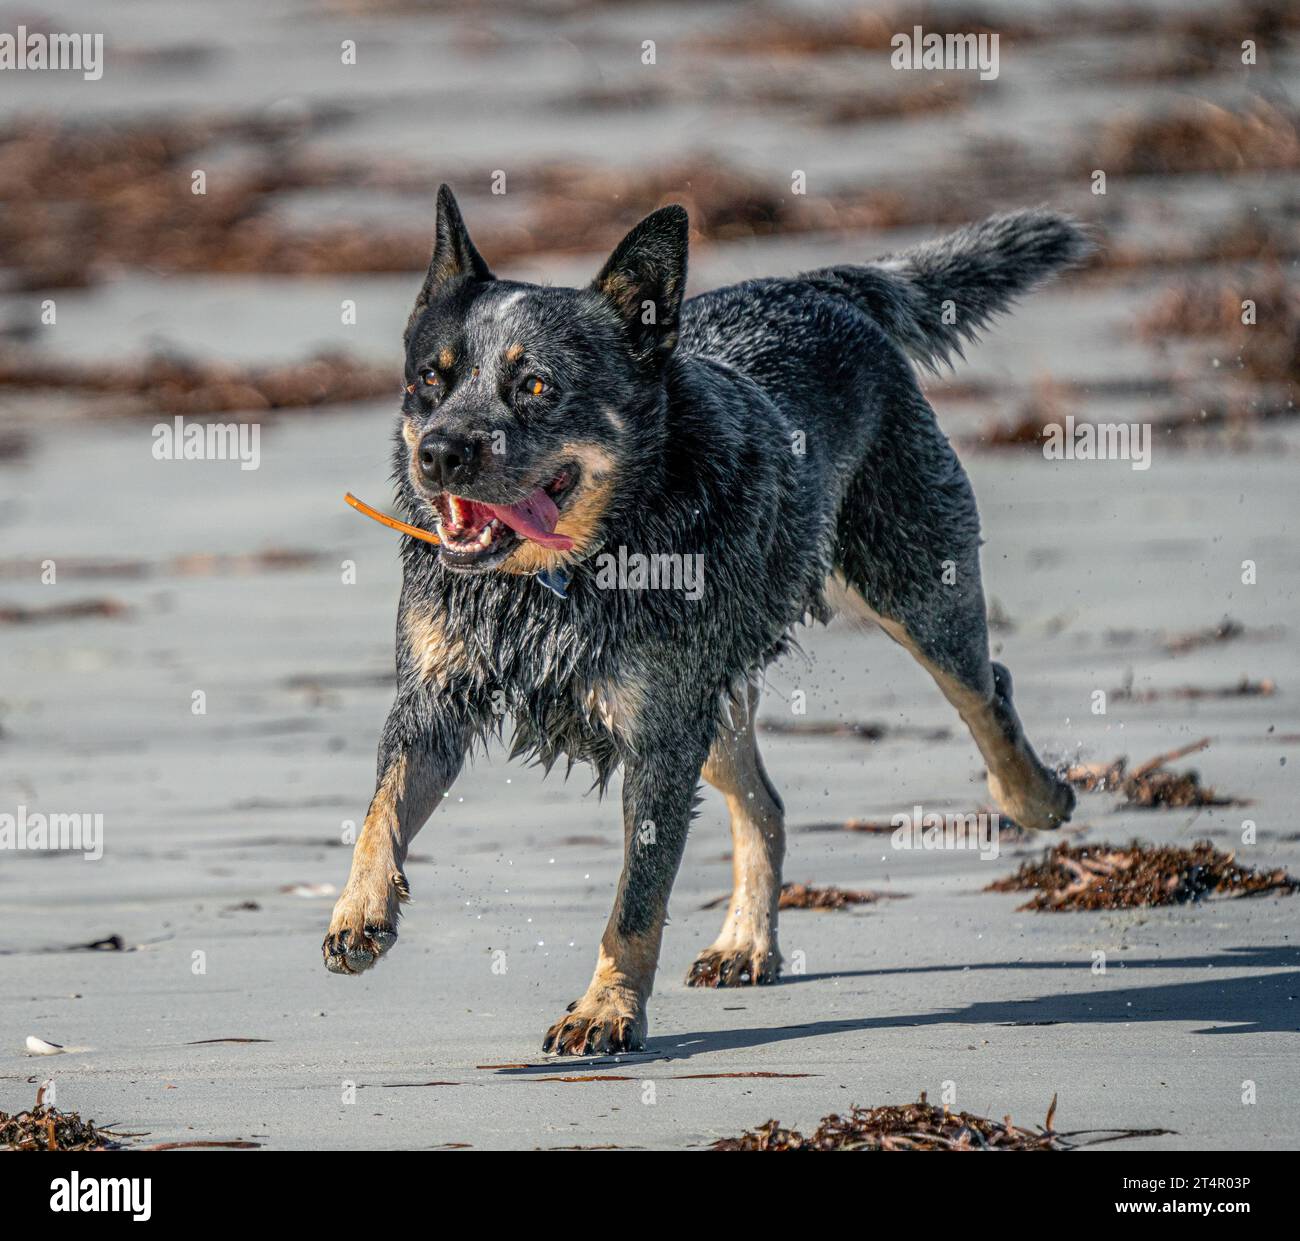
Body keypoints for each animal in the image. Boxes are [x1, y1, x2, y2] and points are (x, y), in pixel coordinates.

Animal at [323, 185, 1084, 1054]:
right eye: (430, 378)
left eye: (538, 387)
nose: (441, 453)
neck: (561, 578)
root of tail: (821, 285)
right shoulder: (433, 698)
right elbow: (382, 808)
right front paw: (360, 911)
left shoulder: (659, 737)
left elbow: (636, 903)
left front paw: (606, 1008)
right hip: (715, 695)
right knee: (765, 801)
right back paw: (746, 940)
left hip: (913, 586)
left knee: (982, 687)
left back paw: (1035, 797)